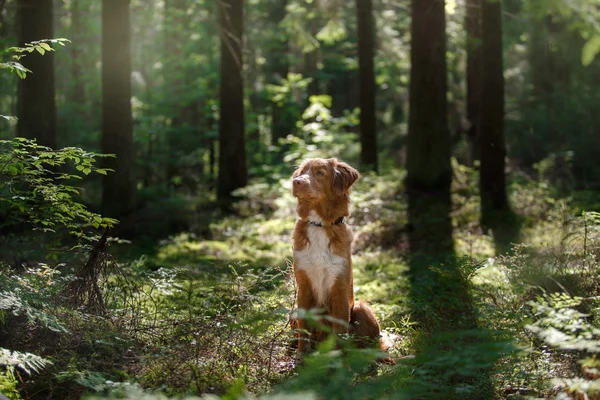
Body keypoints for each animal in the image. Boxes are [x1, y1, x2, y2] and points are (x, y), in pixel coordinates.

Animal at [290, 156, 390, 356]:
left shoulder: (340, 290)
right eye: (302, 172)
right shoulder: (304, 287)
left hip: (361, 307)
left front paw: (337, 359)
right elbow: (304, 330)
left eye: (320, 173)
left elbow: (340, 332)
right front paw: (301, 356)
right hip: (292, 313)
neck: (320, 224)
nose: (296, 182)